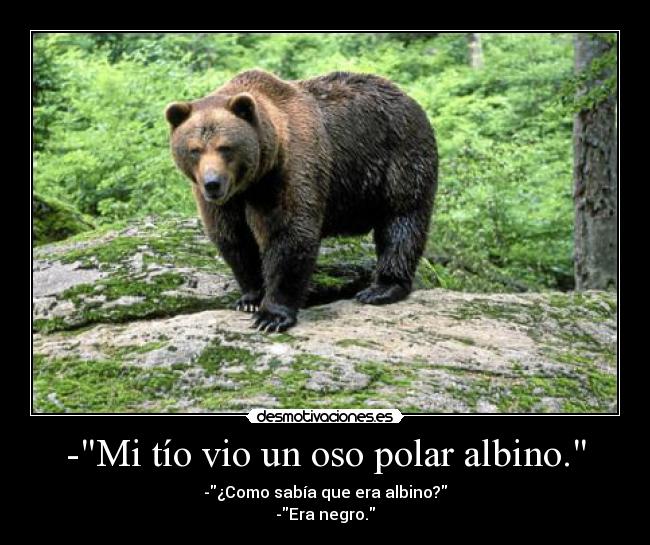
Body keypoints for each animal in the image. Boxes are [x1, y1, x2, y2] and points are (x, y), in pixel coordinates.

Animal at [166, 69, 438, 332]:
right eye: (195, 149)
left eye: (225, 147)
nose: (213, 183)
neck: (253, 180)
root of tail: (406, 96)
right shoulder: (226, 202)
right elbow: (234, 238)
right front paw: (250, 298)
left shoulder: (289, 171)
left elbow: (289, 234)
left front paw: (272, 315)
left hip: (399, 157)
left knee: (402, 219)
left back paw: (381, 288)